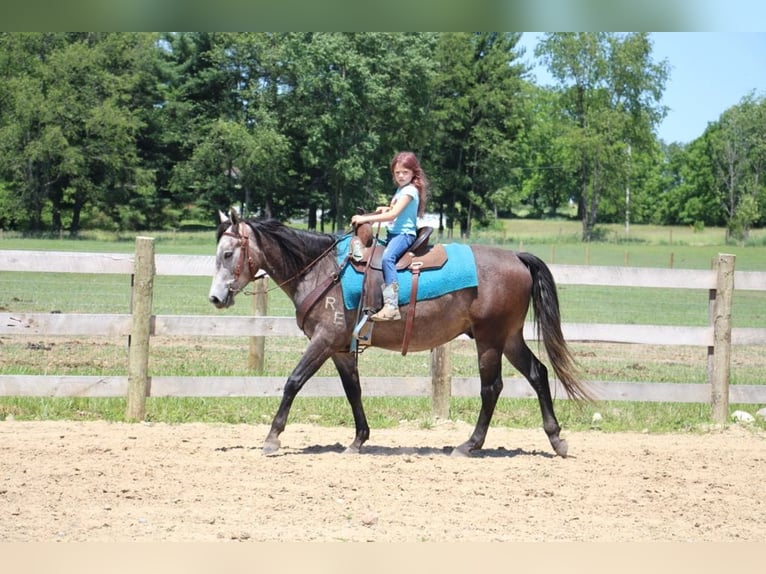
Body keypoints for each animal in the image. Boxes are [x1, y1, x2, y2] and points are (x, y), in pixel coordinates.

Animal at [208, 210, 592, 457]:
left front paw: (272, 438)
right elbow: (353, 391)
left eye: (227, 254)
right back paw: (556, 440)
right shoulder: (342, 349)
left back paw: (470, 445)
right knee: (537, 373)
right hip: (509, 338)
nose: (215, 298)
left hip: (490, 340)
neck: (322, 270)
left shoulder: (324, 341)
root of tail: (516, 257)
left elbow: (293, 381)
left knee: (492, 388)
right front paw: (359, 440)